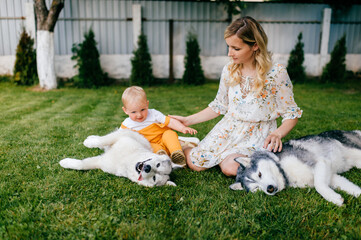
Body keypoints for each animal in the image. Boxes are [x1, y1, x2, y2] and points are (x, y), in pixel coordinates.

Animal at [229, 130, 360, 205]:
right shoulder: (330, 175)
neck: (284, 171)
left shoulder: (319, 162)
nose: (269, 189)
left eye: (259, 174)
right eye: (256, 188)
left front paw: (333, 198)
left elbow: (319, 185)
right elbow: (346, 185)